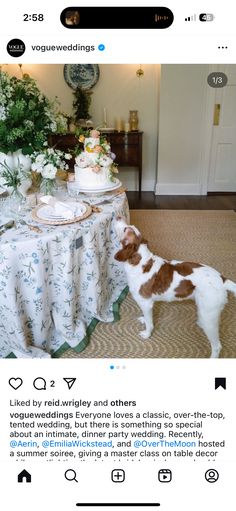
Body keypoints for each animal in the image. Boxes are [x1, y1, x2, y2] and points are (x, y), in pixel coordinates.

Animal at [114, 218, 236, 358]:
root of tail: (222, 279)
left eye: (125, 229)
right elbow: (147, 318)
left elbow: (150, 323)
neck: (140, 261)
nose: (118, 217)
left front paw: (147, 334)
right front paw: (143, 319)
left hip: (209, 316)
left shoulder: (146, 303)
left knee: (217, 346)